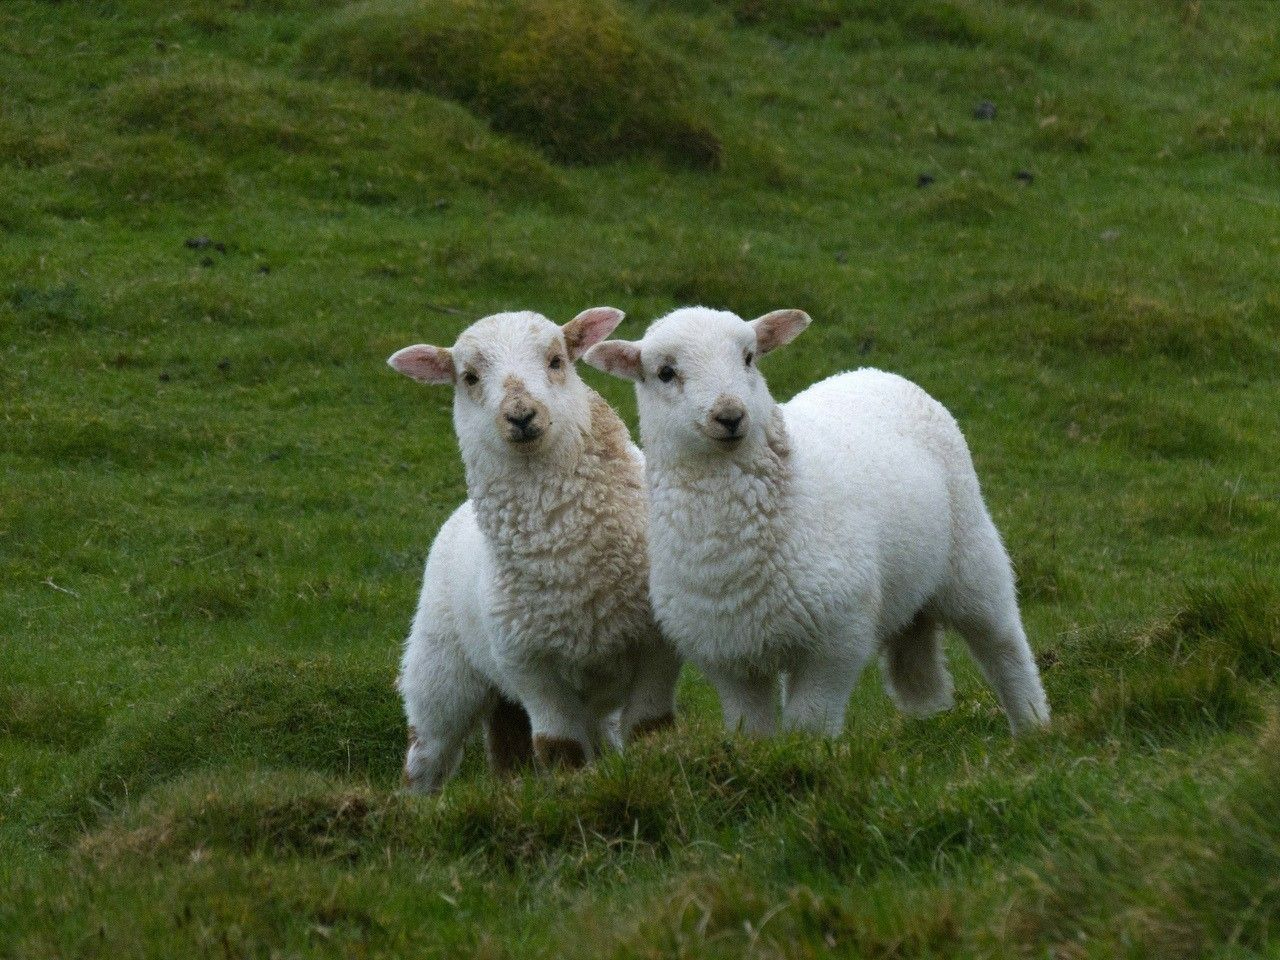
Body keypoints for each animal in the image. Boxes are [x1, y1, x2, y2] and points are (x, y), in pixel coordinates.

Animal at [384, 309, 680, 798]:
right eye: (468, 377)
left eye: (557, 360)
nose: (521, 415)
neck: (566, 559)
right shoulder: (530, 666)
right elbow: (560, 748)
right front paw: (570, 792)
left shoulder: (657, 647)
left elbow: (649, 727)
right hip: (442, 670)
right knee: (428, 752)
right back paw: (417, 803)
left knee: (513, 741)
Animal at [586, 305, 1049, 737]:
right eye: (665, 373)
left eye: (749, 357)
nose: (730, 416)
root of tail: (871, 372)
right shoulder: (728, 658)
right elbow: (752, 732)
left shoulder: (837, 640)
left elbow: (809, 725)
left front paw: (809, 758)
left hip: (970, 549)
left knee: (1002, 642)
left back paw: (1032, 725)